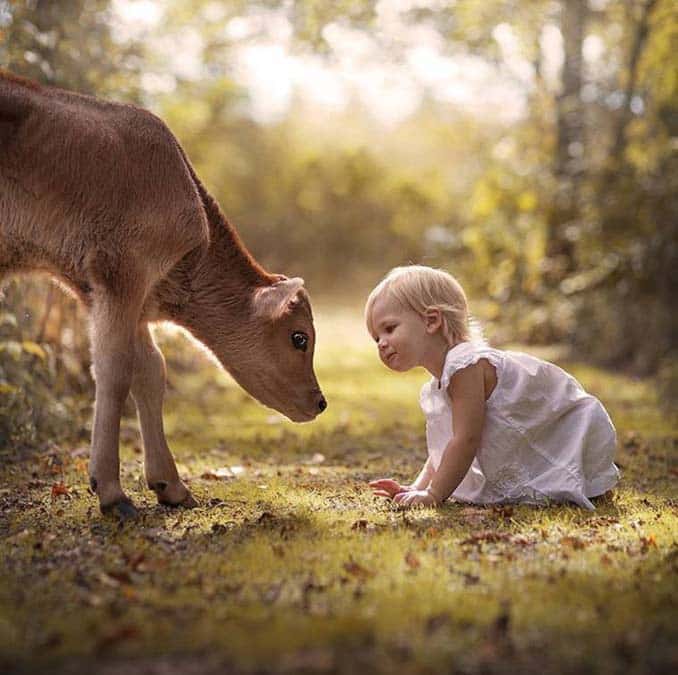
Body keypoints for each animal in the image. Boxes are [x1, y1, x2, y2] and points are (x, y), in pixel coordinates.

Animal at [0, 71, 330, 520]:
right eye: (300, 338)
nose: (320, 402)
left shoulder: (115, 295)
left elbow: (151, 371)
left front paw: (170, 485)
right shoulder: (123, 273)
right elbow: (116, 368)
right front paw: (112, 492)